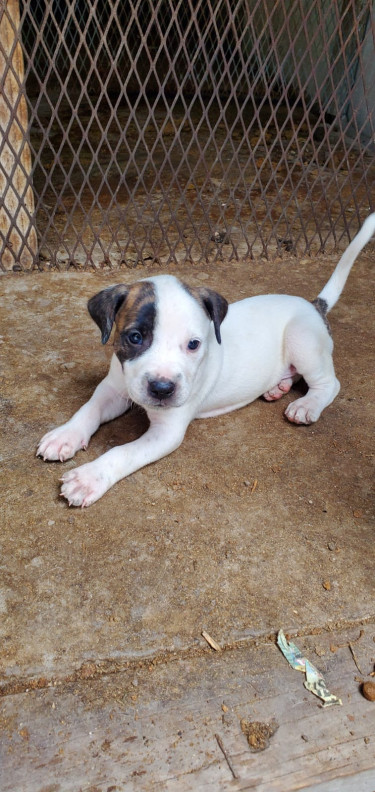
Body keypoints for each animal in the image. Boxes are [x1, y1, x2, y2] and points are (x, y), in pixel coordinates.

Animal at [37, 212, 375, 508]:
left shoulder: (167, 431)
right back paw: (276, 387)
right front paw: (65, 436)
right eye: (134, 338)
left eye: (193, 344)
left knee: (329, 383)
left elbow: (122, 452)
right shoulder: (113, 388)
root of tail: (313, 305)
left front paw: (88, 478)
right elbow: (88, 410)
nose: (162, 389)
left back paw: (306, 405)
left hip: (301, 339)